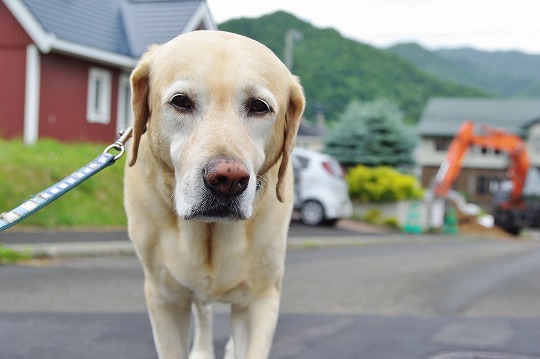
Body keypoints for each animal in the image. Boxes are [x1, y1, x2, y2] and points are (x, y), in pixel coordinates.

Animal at [124, 31, 306, 359]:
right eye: (181, 101)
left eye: (259, 106)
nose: (227, 180)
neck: (209, 231)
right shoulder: (164, 297)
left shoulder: (260, 300)